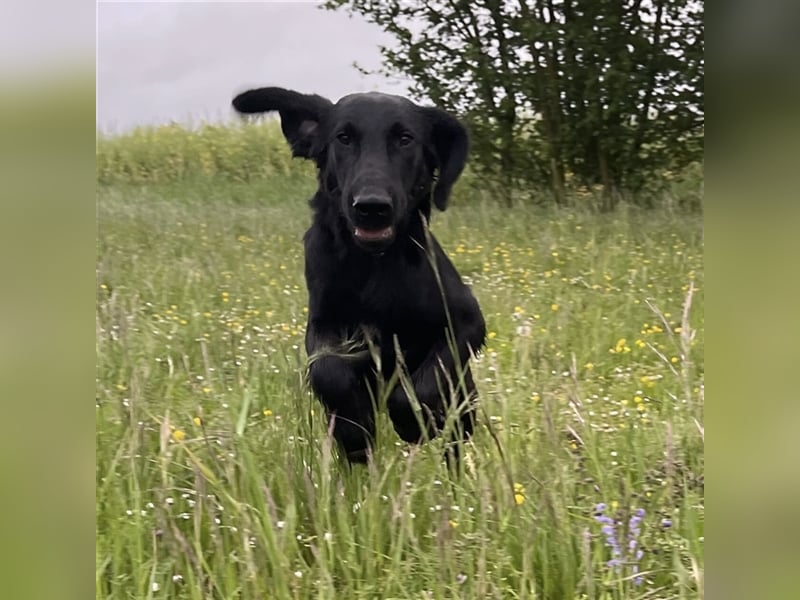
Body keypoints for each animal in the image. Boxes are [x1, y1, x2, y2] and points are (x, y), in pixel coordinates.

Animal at [231, 86, 488, 462]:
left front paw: (413, 422)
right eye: (344, 138)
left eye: (405, 139)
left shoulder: (466, 322)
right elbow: (328, 372)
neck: (372, 265)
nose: (372, 207)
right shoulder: (324, 324)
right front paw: (354, 428)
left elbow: (424, 382)